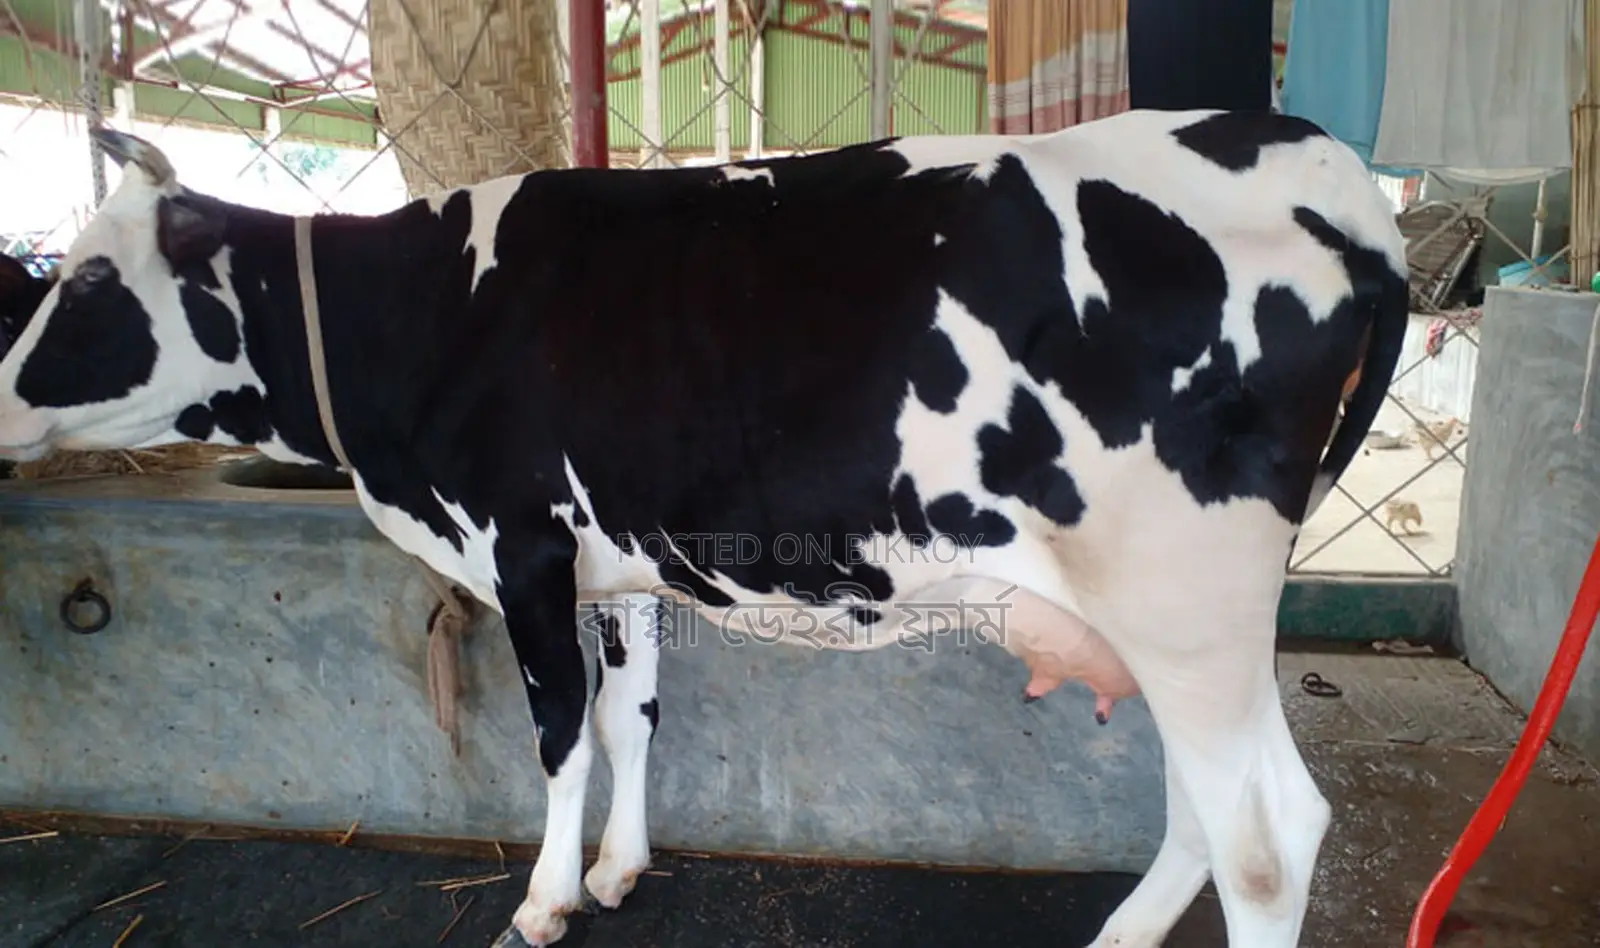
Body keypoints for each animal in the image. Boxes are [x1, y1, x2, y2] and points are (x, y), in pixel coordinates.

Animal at [0, 108, 1407, 947]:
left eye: (86, 277)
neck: (418, 320)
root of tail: (1320, 162)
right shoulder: (616, 559)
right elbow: (634, 716)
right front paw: (620, 869)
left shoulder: (524, 544)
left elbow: (559, 735)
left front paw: (545, 900)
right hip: (1171, 622)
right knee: (1203, 811)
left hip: (1185, 597)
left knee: (1267, 838)